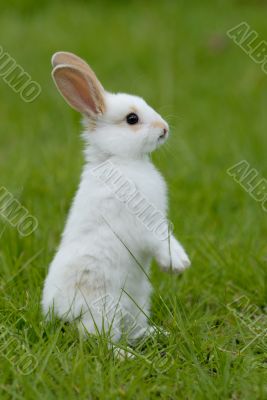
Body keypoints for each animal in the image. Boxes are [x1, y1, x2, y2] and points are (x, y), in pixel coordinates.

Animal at [42, 50, 191, 344]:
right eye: (132, 119)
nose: (165, 128)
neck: (122, 161)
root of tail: (60, 311)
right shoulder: (141, 223)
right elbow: (160, 239)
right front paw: (177, 264)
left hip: (138, 301)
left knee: (130, 331)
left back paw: (157, 334)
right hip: (103, 307)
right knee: (100, 340)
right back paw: (127, 352)